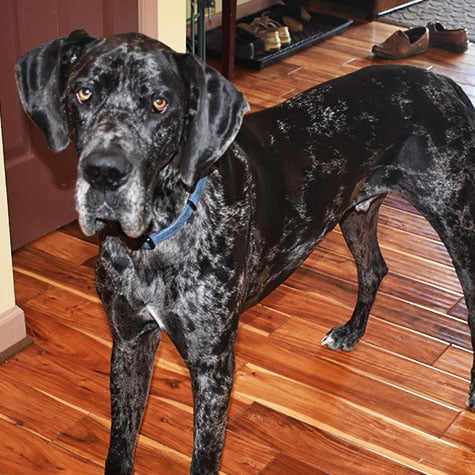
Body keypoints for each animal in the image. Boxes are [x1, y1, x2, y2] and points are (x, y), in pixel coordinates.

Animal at [15, 31, 475, 474]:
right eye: (84, 93)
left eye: (160, 103)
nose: (104, 173)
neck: (153, 240)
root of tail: (445, 84)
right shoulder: (129, 344)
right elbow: (120, 448)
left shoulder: (212, 368)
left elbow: (204, 459)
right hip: (355, 211)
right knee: (375, 269)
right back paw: (350, 331)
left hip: (458, 229)